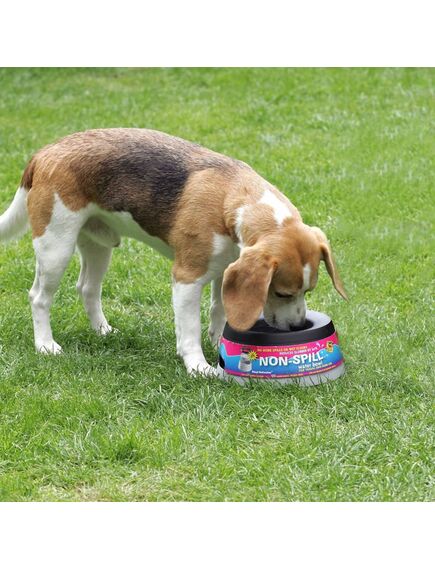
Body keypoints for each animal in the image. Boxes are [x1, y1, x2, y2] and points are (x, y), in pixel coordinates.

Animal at [0, 130, 348, 374]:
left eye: (309, 290)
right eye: (281, 293)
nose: (298, 328)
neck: (234, 202)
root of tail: (45, 153)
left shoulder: (226, 270)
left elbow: (219, 311)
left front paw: (219, 342)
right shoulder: (187, 278)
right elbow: (189, 329)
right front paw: (198, 366)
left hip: (99, 245)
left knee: (87, 288)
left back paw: (103, 330)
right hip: (55, 247)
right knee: (39, 297)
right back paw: (46, 345)